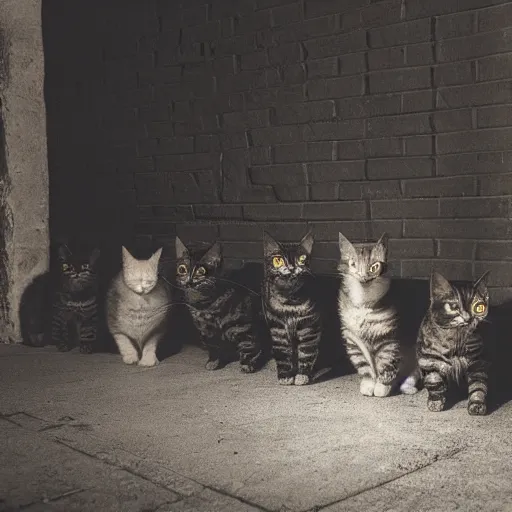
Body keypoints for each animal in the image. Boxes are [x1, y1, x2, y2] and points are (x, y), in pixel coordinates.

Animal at [176, 236, 264, 372]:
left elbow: (248, 346)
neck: (205, 305)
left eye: (201, 271)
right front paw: (213, 362)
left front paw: (247, 364)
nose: (189, 282)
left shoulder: (244, 325)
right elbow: (213, 348)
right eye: (182, 269)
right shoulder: (206, 331)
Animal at [262, 231, 322, 384]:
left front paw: (302, 375)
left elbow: (306, 353)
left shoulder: (309, 327)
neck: (290, 302)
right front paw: (285, 376)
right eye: (278, 260)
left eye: (301, 258)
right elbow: (282, 354)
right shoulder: (277, 328)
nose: (291, 268)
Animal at [336, 232, 420, 396]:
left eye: (374, 267)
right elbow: (364, 365)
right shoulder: (353, 339)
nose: (363, 277)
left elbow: (386, 363)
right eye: (353, 264)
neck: (364, 302)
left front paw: (382, 387)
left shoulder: (388, 339)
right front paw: (369, 384)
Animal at [418, 272, 490, 416]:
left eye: (478, 307)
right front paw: (435, 402)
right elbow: (434, 382)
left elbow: (478, 387)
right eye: (454, 307)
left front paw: (477, 405)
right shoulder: (429, 360)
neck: (457, 341)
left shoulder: (478, 363)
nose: (468, 318)